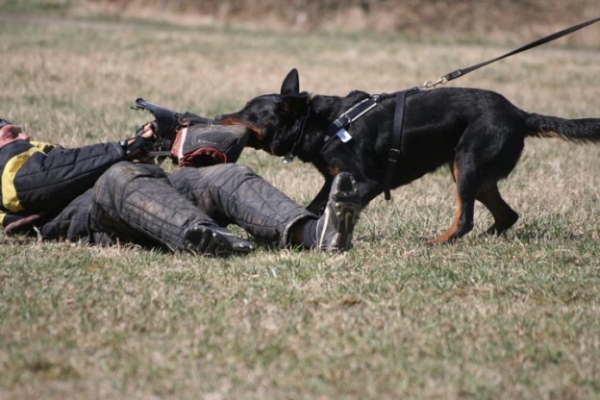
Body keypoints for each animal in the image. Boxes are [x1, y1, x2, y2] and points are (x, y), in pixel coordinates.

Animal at [218, 69, 600, 244]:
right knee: (507, 214)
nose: (219, 116)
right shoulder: (335, 179)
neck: (325, 123)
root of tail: (520, 114)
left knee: (466, 217)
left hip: (468, 164)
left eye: (249, 110)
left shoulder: (367, 181)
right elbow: (313, 207)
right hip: (474, 172)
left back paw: (439, 242)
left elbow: (332, 210)